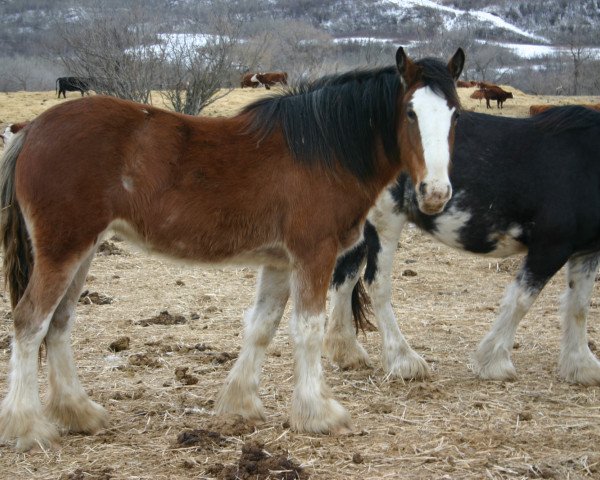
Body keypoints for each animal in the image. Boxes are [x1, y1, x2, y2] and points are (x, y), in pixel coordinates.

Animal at [0, 46, 464, 450]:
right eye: (410, 112)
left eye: (455, 113)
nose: (436, 193)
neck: (322, 148)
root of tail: (32, 130)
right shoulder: (313, 254)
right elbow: (308, 330)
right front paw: (318, 413)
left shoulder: (280, 262)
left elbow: (262, 327)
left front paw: (240, 405)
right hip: (64, 251)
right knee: (30, 322)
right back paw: (27, 427)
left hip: (82, 251)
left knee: (59, 324)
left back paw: (80, 413)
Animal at [326, 106, 600, 386]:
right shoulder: (550, 247)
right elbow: (521, 301)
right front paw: (494, 362)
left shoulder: (587, 250)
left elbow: (579, 304)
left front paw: (582, 366)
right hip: (385, 221)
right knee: (376, 284)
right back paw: (403, 360)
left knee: (344, 278)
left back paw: (347, 352)